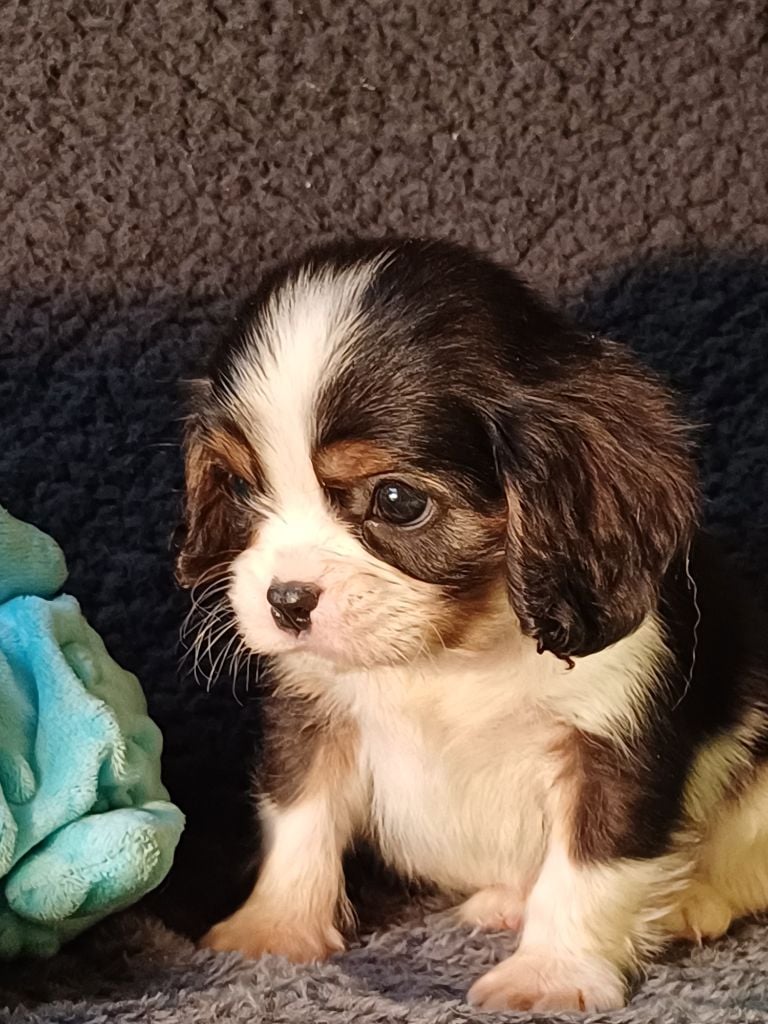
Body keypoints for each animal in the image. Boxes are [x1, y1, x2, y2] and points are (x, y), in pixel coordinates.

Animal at [177, 239, 768, 1015]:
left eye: (398, 501)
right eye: (243, 489)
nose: (287, 599)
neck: (451, 648)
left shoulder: (609, 743)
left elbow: (589, 866)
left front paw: (551, 974)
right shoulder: (316, 719)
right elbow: (300, 819)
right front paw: (272, 930)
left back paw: (692, 904)